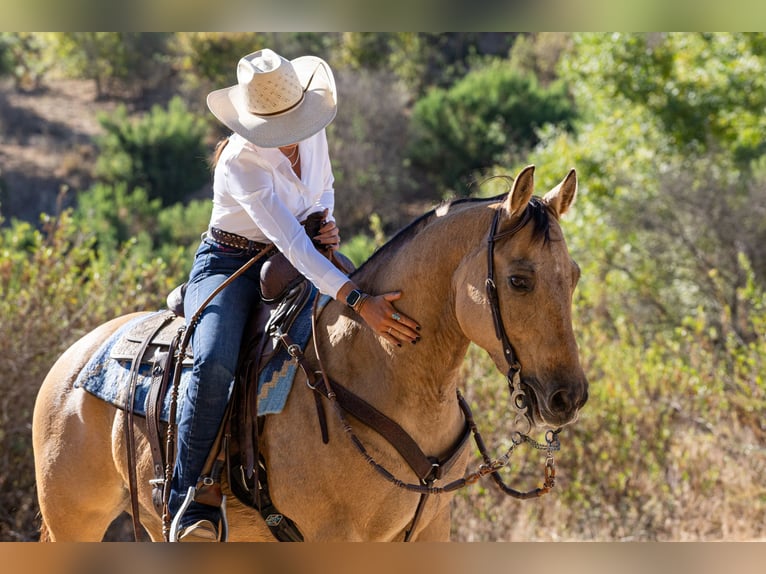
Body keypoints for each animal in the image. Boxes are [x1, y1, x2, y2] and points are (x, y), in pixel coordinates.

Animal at [32, 165, 588, 542]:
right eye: (519, 280)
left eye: (575, 275)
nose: (568, 397)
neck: (382, 370)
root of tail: (73, 359)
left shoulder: (429, 532)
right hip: (73, 522)